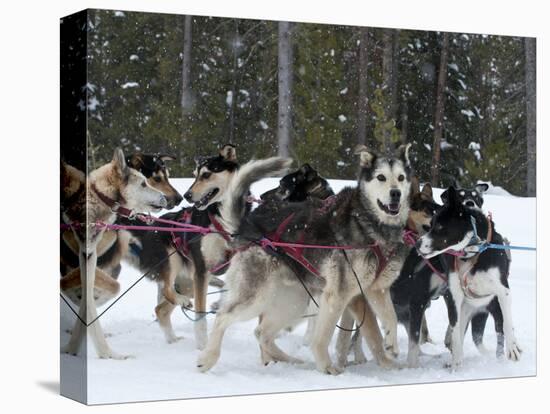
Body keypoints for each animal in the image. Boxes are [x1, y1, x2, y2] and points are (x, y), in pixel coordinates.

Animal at [198, 144, 414, 374]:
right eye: (381, 177)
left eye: (400, 177)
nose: (395, 193)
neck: (369, 224)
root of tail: (247, 226)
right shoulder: (340, 295)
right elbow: (325, 337)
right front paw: (327, 367)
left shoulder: (376, 289)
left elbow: (387, 320)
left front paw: (390, 353)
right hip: (258, 298)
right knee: (224, 317)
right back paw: (208, 358)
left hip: (294, 301)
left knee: (262, 333)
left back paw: (291, 361)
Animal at [418, 185, 520, 368]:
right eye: (430, 225)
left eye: (439, 227)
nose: (417, 244)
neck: (472, 252)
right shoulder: (454, 296)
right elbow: (456, 333)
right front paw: (456, 364)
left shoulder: (503, 292)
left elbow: (508, 324)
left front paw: (513, 347)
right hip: (465, 309)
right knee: (461, 333)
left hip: (491, 308)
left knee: (495, 334)